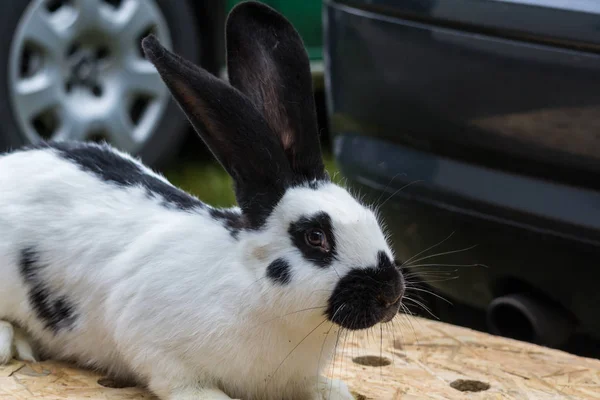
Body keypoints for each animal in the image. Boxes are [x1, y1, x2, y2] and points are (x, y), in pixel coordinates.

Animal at [0, 1, 408, 398]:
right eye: (315, 237)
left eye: (371, 216)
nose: (391, 293)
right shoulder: (151, 338)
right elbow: (179, 379)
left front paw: (333, 390)